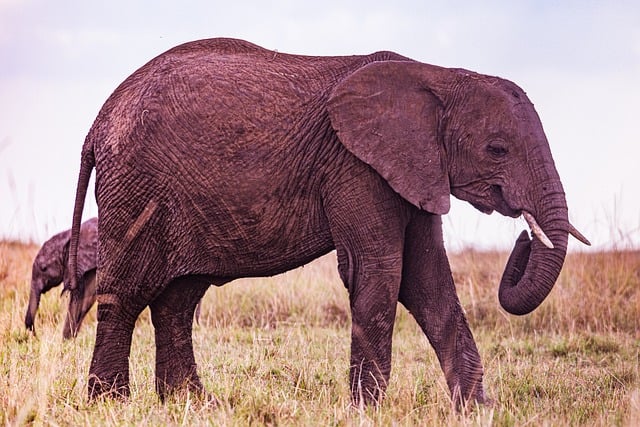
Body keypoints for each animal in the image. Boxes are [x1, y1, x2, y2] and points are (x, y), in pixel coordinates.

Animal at [69, 37, 592, 408]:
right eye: (497, 149)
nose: (524, 235)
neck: (435, 76)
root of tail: (97, 122)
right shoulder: (356, 166)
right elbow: (380, 271)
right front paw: (367, 411)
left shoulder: (414, 170)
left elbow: (428, 281)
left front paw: (478, 409)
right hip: (136, 186)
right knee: (126, 292)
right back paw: (111, 404)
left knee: (177, 299)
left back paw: (195, 404)